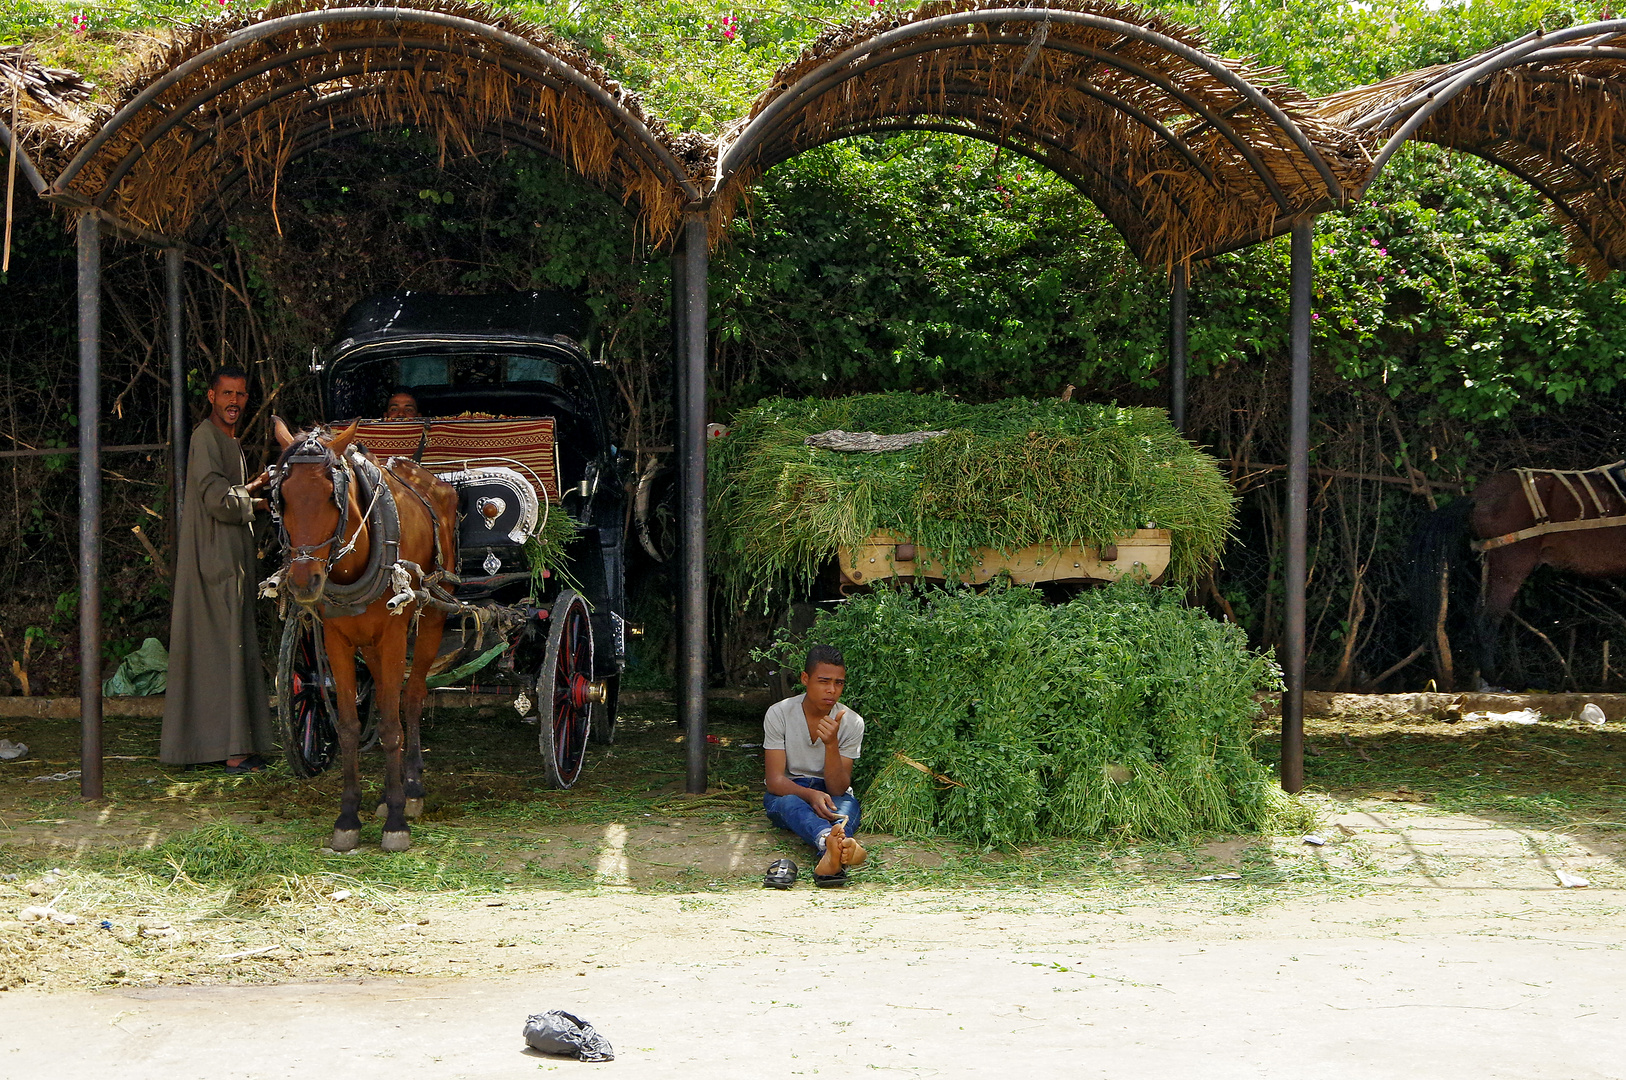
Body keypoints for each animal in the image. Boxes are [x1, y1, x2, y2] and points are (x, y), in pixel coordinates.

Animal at [273, 416, 461, 845]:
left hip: (432, 615)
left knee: (411, 698)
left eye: (332, 496)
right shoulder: (336, 640)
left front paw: (396, 821)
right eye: (283, 497)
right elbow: (347, 728)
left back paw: (411, 787)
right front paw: (348, 817)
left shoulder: (393, 636)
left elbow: (392, 725)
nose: (303, 581)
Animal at [1411, 461, 1626, 683]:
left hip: (1492, 563)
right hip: (1511, 564)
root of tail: (1476, 497)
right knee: (1487, 621)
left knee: (1478, 616)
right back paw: (1497, 679)